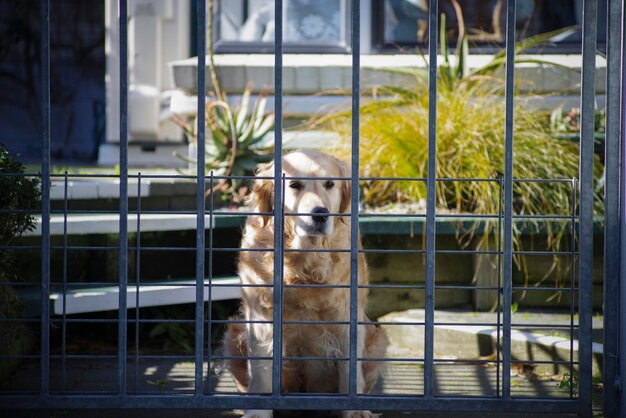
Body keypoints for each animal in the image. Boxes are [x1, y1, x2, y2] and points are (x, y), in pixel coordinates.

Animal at [222, 150, 388, 418]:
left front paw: (354, 411)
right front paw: (258, 411)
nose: (320, 214)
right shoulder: (261, 318)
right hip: (233, 333)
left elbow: (350, 375)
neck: (304, 264)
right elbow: (261, 371)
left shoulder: (346, 318)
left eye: (329, 183)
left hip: (377, 339)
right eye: (294, 185)